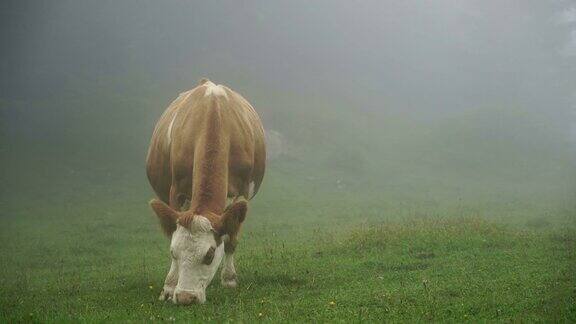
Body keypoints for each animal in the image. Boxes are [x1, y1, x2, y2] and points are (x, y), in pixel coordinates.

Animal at [146, 78, 268, 304]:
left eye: (209, 255)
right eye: (174, 252)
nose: (186, 297)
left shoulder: (242, 191)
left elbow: (231, 238)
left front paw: (229, 279)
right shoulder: (176, 190)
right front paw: (169, 286)